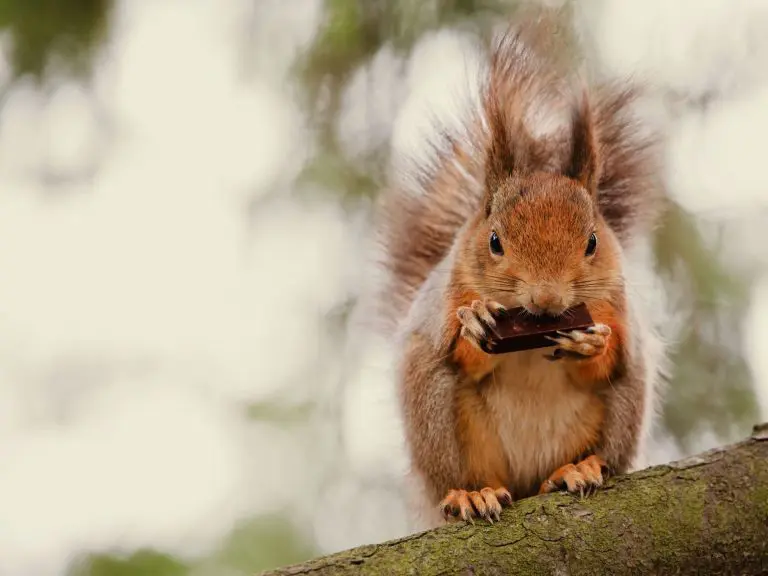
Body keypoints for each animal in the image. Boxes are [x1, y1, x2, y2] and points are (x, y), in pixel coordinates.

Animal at [372, 11, 664, 528]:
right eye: (494, 241)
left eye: (593, 242)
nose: (546, 300)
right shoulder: (447, 297)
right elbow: (460, 348)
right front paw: (476, 324)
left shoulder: (616, 304)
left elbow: (609, 358)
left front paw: (591, 343)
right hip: (435, 416)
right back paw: (473, 495)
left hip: (624, 410)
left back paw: (574, 470)